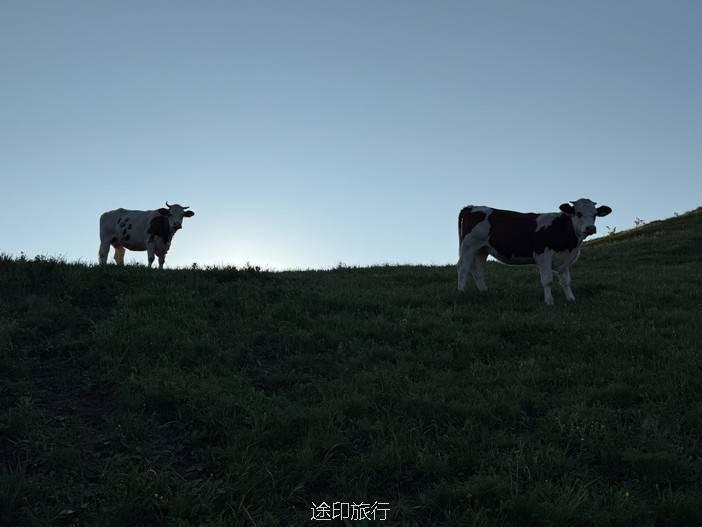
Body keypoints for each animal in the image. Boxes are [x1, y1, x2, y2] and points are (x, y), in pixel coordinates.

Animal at [457, 198, 612, 305]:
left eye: (595, 214)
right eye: (578, 213)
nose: (590, 228)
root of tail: (471, 207)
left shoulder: (565, 259)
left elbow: (566, 281)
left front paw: (571, 299)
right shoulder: (543, 254)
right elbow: (548, 280)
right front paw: (549, 301)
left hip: (481, 250)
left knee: (477, 270)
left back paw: (484, 292)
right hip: (469, 246)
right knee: (463, 268)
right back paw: (461, 292)